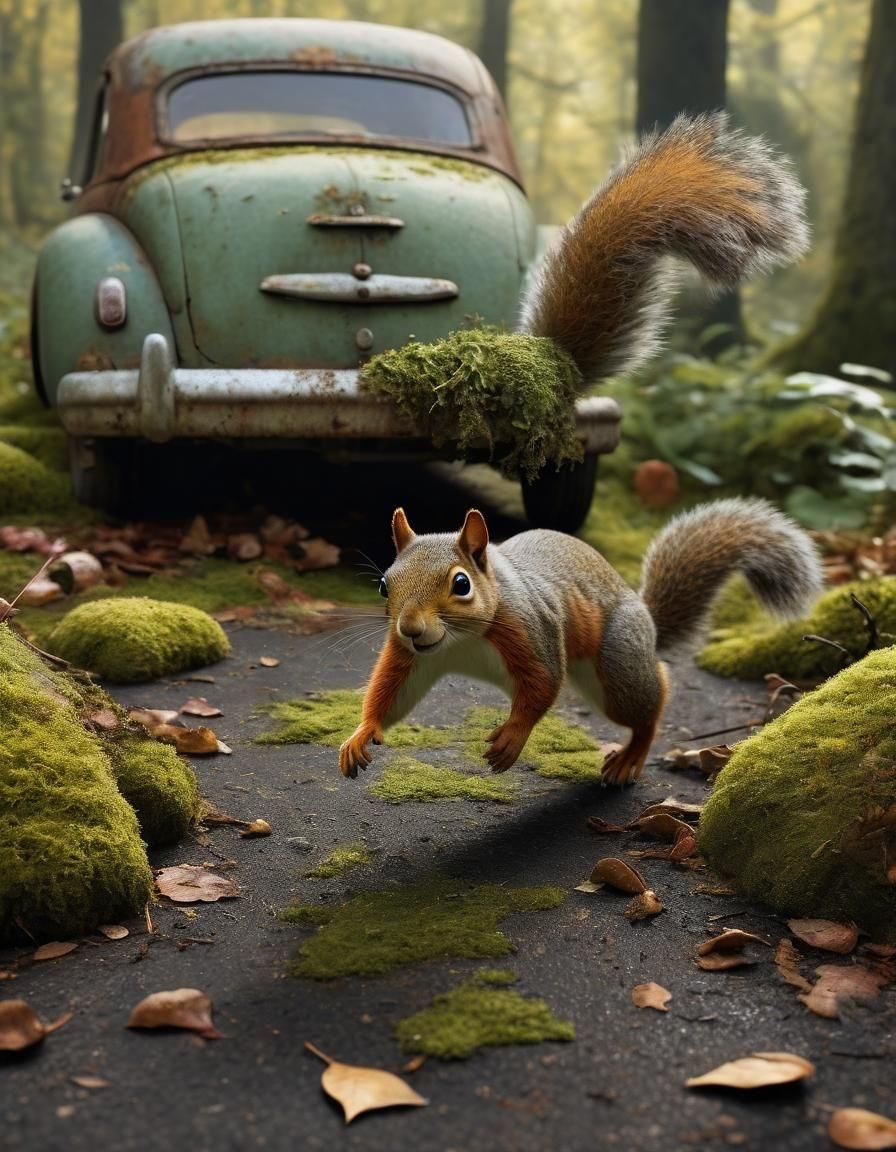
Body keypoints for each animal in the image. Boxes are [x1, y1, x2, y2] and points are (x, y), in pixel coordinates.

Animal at [338, 112, 818, 784]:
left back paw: (632, 754)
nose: (409, 628)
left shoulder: (532, 633)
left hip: (614, 666)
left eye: (460, 584)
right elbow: (389, 691)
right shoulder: (414, 660)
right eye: (384, 585)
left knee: (654, 692)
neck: (465, 642)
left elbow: (542, 687)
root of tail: (644, 617)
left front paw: (511, 739)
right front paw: (359, 737)